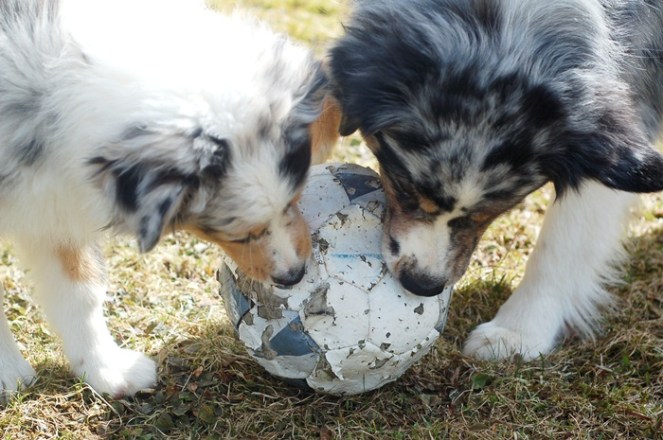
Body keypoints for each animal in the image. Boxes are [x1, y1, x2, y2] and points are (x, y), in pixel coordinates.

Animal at [0, 0, 339, 399]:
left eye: (294, 200)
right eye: (237, 234)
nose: (295, 275)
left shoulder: (54, 197)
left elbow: (79, 287)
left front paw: (107, 370)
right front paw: (8, 371)